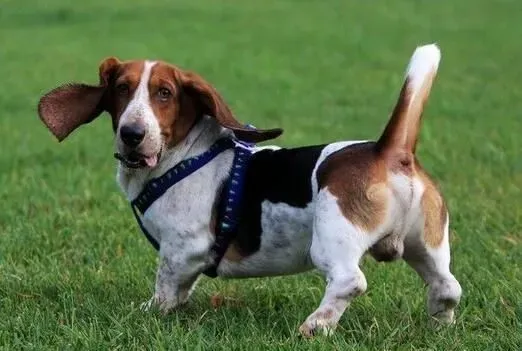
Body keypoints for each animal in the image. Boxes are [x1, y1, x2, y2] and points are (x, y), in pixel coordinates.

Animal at [37, 45, 460, 336]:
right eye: (122, 89)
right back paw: (439, 328)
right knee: (448, 287)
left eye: (165, 94)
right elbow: (179, 290)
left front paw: (149, 314)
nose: (132, 134)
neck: (183, 155)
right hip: (427, 245)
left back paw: (314, 327)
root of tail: (388, 151)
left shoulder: (182, 248)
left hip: (332, 239)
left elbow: (165, 287)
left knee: (349, 282)